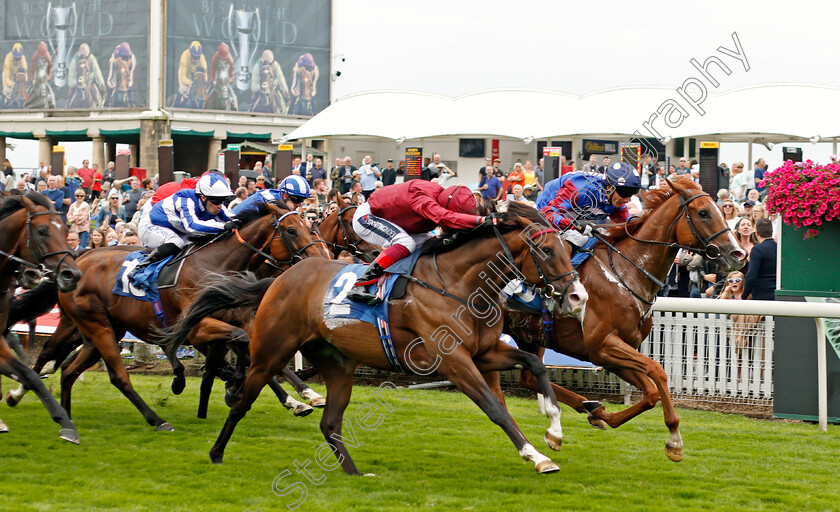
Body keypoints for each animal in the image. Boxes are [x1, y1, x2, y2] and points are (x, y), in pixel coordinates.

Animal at [162, 202, 584, 474]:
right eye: (547, 250)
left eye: (568, 248)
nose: (578, 296)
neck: (457, 283)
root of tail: (278, 280)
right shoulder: (453, 361)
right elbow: (495, 407)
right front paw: (536, 455)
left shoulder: (484, 352)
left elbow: (533, 366)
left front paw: (553, 434)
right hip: (271, 349)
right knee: (244, 400)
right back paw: (218, 450)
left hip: (337, 365)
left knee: (329, 423)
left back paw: (354, 472)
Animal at [496, 178, 744, 462]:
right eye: (703, 213)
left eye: (721, 209)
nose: (738, 254)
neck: (627, 273)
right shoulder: (602, 345)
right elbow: (658, 371)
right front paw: (674, 439)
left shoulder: (610, 352)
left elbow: (650, 392)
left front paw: (601, 414)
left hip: (529, 335)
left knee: (527, 377)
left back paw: (585, 407)